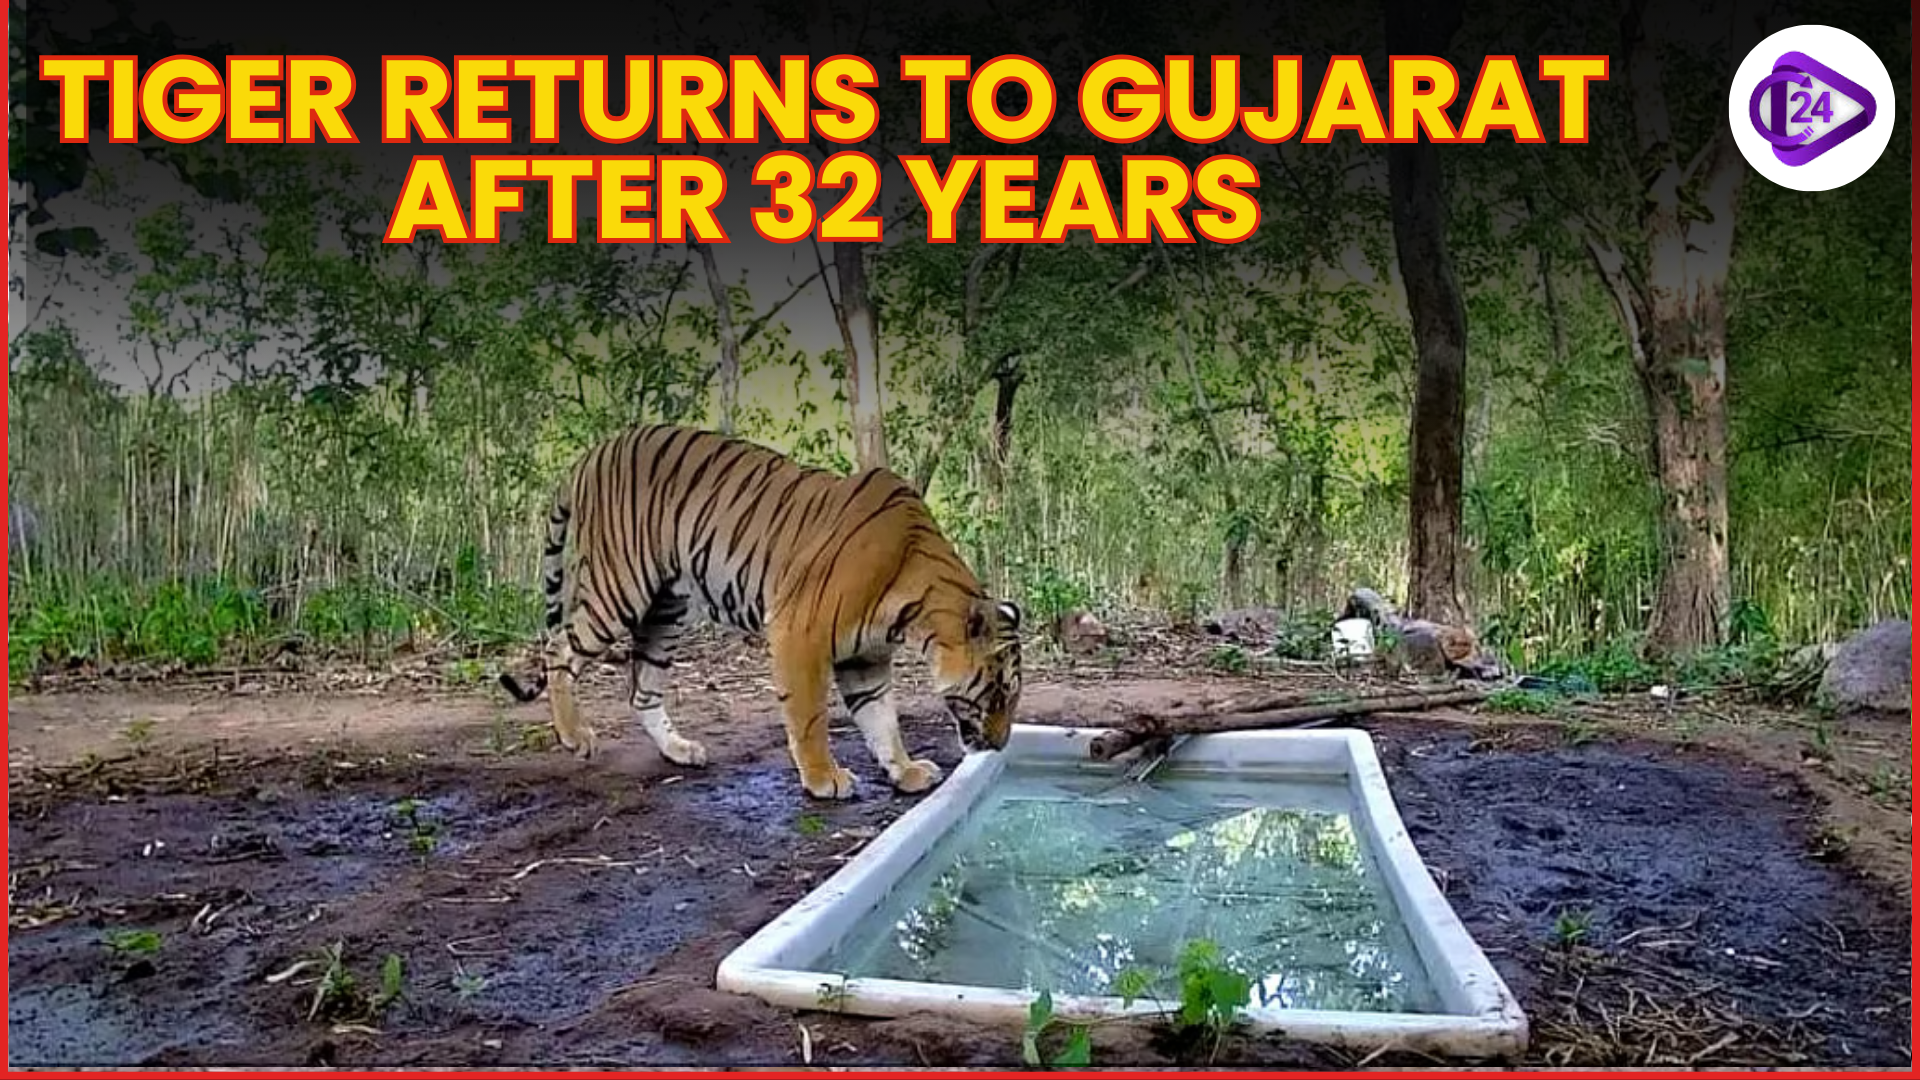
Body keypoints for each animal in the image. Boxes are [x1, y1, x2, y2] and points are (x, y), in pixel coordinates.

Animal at [499, 424, 1024, 801]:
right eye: (997, 691)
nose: (1000, 746)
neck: (915, 613)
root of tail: (591, 452)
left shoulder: (865, 658)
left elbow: (882, 720)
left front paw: (906, 770)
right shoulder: (800, 632)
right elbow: (810, 717)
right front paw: (824, 779)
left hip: (667, 609)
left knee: (641, 688)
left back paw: (680, 750)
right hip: (620, 590)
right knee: (559, 647)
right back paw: (575, 736)